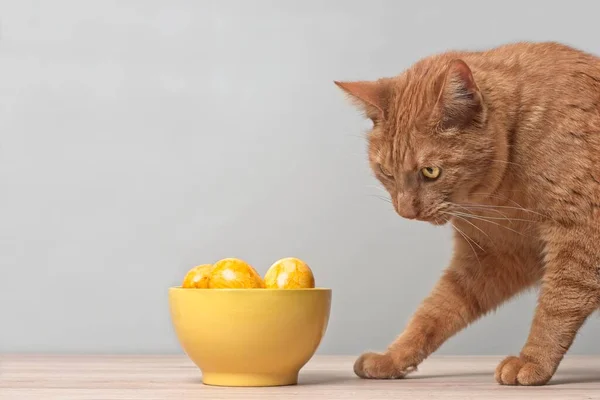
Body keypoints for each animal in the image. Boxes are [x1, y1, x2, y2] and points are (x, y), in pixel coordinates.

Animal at [336, 41, 600, 384]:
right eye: (387, 172)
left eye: (431, 171)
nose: (406, 211)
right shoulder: (496, 254)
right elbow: (434, 311)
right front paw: (392, 358)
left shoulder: (581, 237)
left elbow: (557, 306)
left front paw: (533, 361)